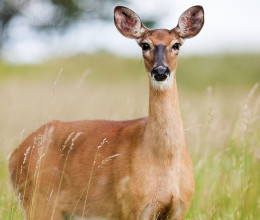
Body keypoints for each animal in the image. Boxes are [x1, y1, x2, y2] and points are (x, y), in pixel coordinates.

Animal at [8, 5, 205, 220]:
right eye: (144, 45)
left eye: (176, 44)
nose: (160, 71)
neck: (164, 162)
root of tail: (13, 155)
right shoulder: (132, 206)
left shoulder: (179, 208)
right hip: (38, 202)